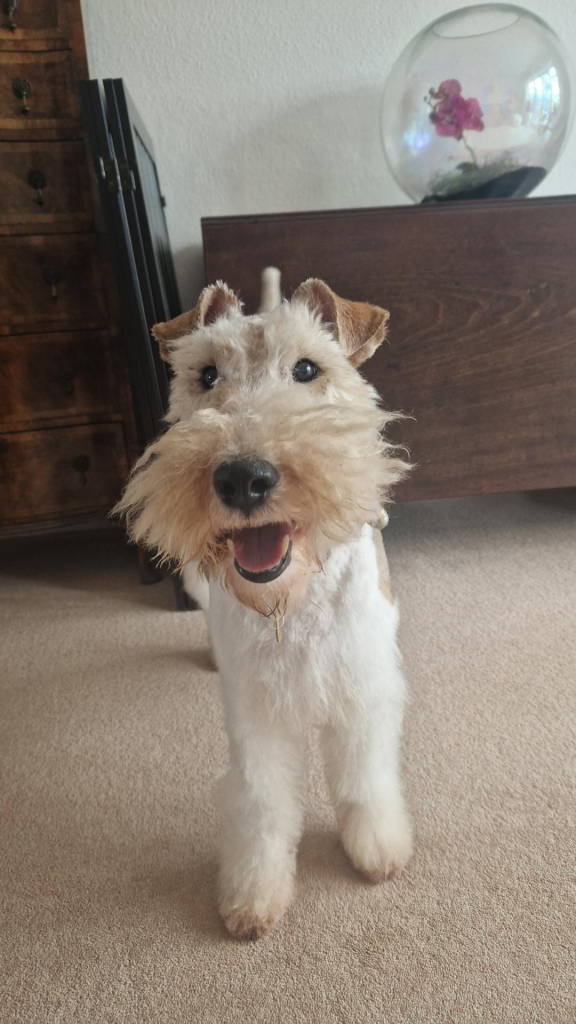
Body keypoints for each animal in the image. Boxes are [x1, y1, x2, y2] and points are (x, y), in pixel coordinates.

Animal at [115, 268, 412, 937]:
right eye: (205, 375)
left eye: (307, 368)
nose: (242, 478)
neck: (289, 604)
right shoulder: (253, 712)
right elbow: (262, 803)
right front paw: (253, 896)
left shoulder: (362, 688)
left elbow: (364, 779)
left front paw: (377, 849)